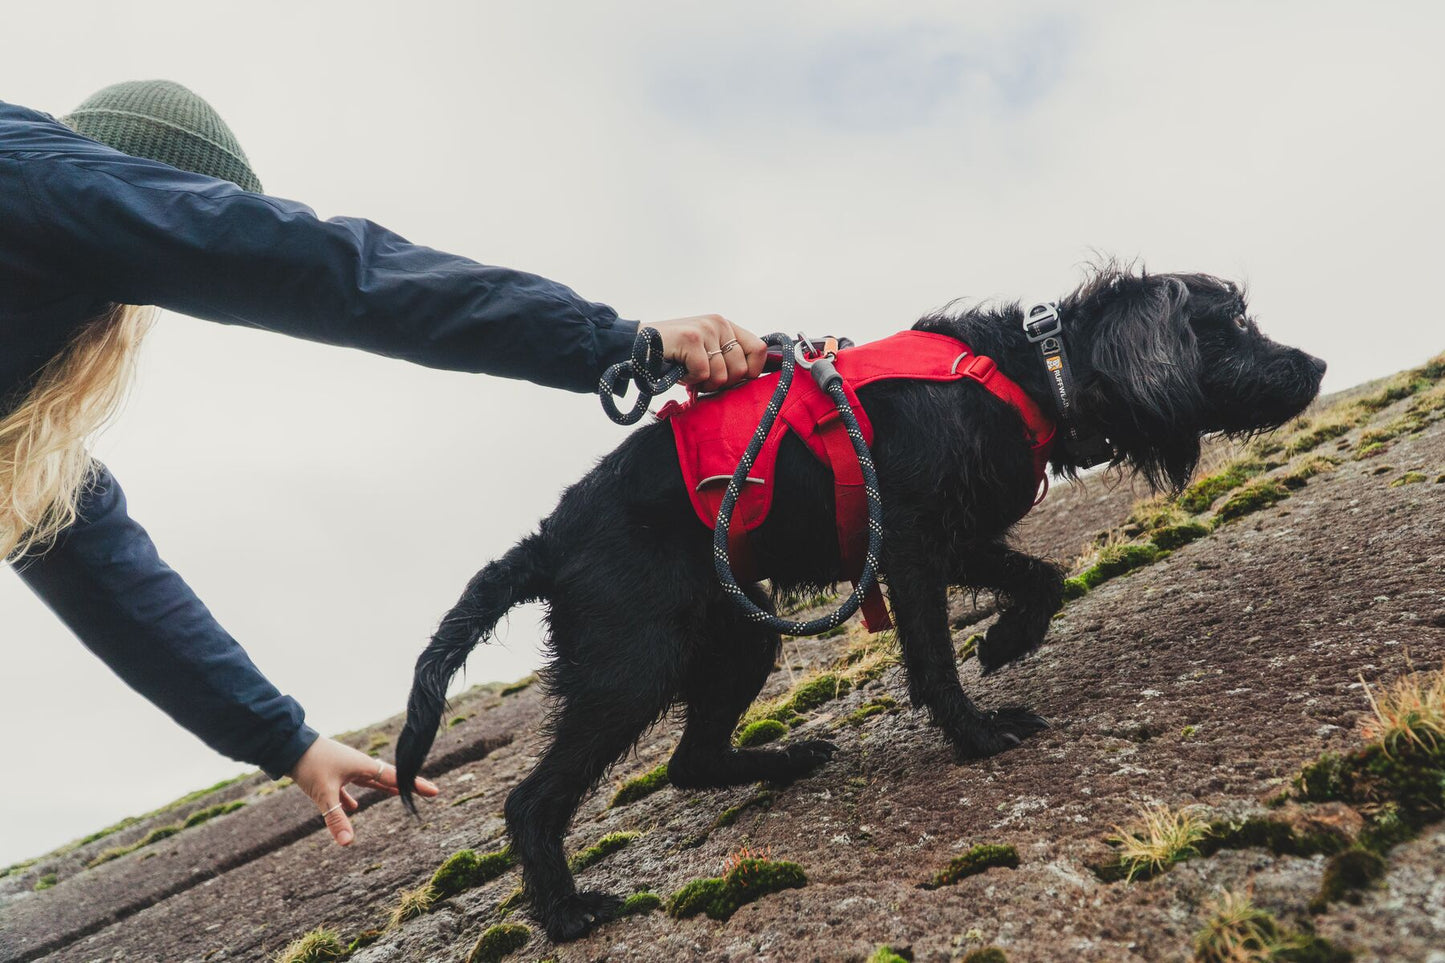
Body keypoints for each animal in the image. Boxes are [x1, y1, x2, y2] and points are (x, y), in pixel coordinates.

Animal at [395, 264, 1323, 936]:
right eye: (1226, 326)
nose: (1315, 363)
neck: (1032, 370)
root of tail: (547, 540)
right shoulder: (910, 547)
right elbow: (935, 660)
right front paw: (977, 732)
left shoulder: (953, 538)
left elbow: (1041, 575)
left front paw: (1008, 640)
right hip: (632, 660)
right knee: (533, 798)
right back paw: (564, 910)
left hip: (742, 635)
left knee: (692, 759)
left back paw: (787, 757)